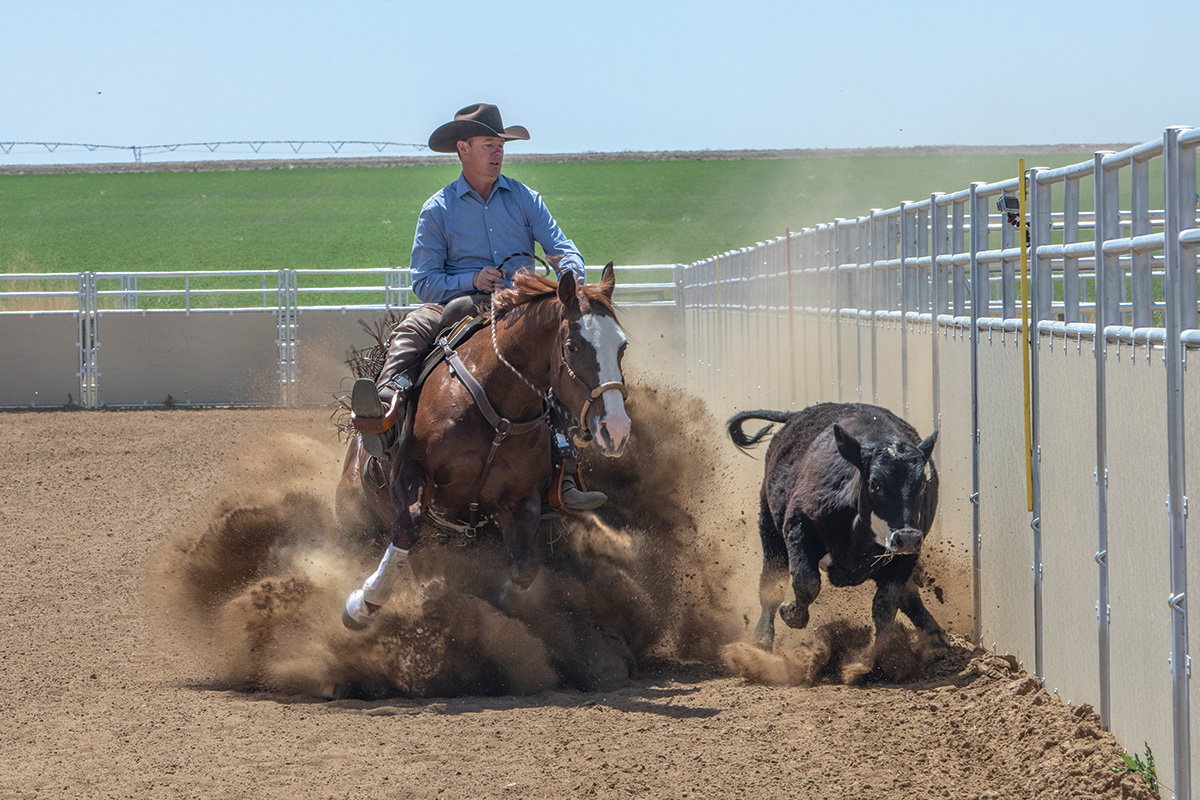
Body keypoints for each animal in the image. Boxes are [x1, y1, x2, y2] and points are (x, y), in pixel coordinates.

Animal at [333, 262, 633, 623]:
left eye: (622, 346)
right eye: (573, 345)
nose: (616, 427)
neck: (499, 412)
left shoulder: (521, 500)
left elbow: (525, 569)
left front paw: (500, 602)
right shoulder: (410, 470)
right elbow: (407, 526)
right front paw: (364, 603)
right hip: (352, 515)